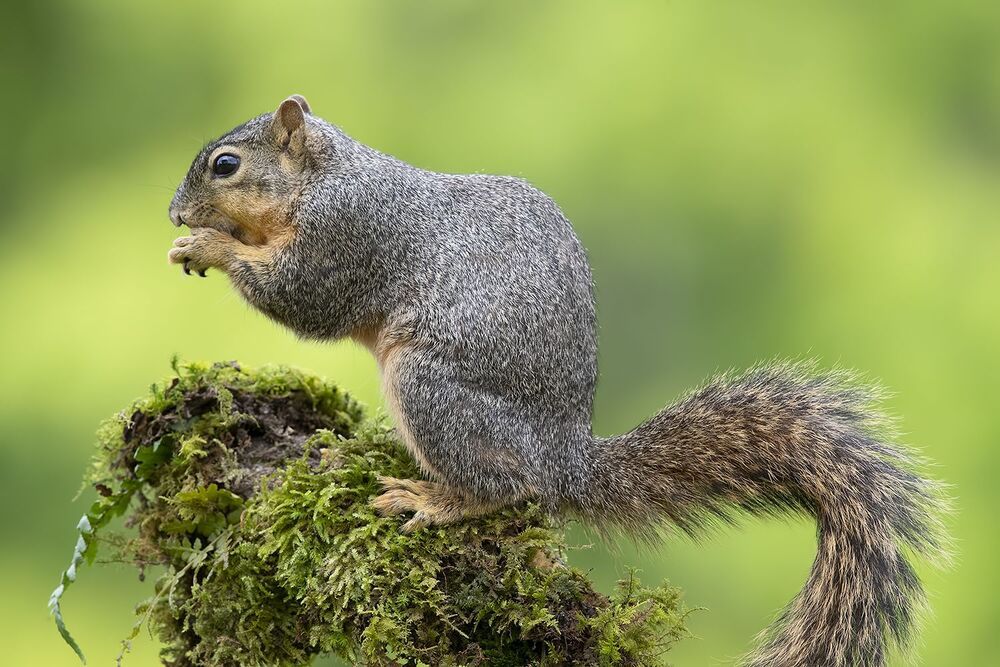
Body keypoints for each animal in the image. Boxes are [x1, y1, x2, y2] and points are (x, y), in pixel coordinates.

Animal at [168, 95, 949, 667]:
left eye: (226, 165)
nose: (174, 212)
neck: (327, 176)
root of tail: (563, 456)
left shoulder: (348, 236)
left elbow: (303, 297)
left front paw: (207, 245)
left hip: (430, 388)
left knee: (507, 486)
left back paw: (435, 498)